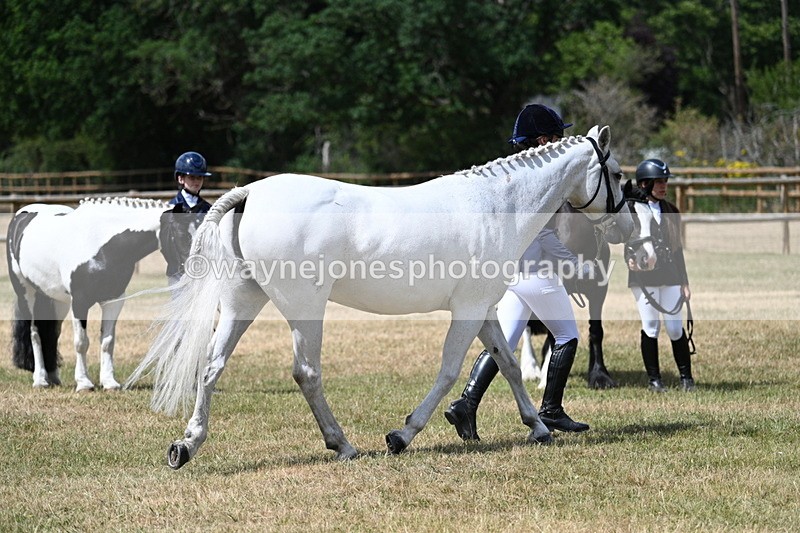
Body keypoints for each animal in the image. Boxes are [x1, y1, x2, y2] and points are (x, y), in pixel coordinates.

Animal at [6, 197, 195, 391]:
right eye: (182, 234)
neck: (99, 244)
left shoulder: (114, 300)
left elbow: (107, 341)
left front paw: (109, 382)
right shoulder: (79, 302)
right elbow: (81, 342)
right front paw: (84, 383)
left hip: (57, 300)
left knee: (52, 334)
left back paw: (53, 378)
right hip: (27, 293)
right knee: (35, 333)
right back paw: (40, 380)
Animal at [127, 125, 637, 469]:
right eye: (615, 173)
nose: (628, 229)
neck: (496, 206)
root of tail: (251, 192)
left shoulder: (483, 309)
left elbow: (506, 364)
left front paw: (538, 427)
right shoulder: (468, 310)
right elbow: (450, 370)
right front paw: (402, 435)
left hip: (242, 304)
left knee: (211, 367)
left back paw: (186, 445)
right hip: (305, 310)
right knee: (306, 373)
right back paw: (343, 445)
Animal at [519, 182, 655, 389]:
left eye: (651, 219)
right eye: (633, 216)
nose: (649, 258)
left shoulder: (598, 291)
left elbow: (596, 332)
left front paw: (599, 375)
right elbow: (553, 334)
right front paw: (544, 379)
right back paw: (530, 368)